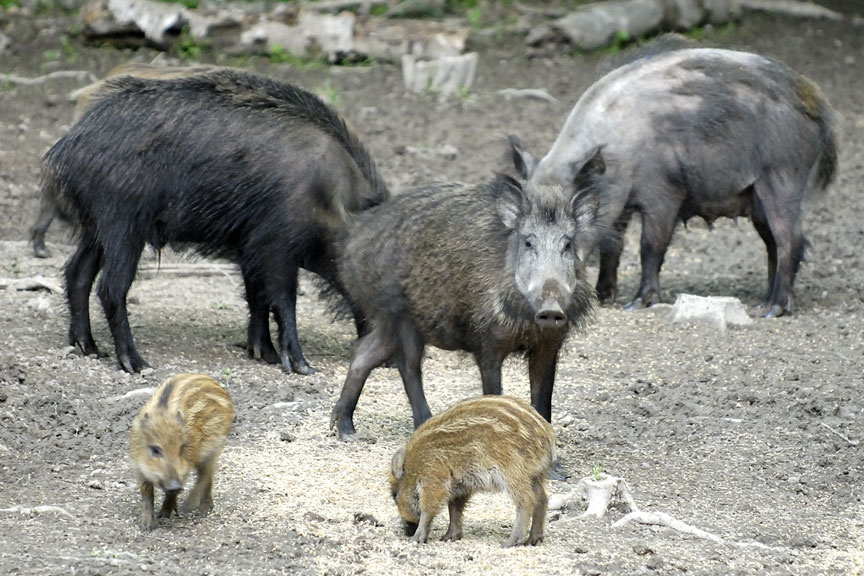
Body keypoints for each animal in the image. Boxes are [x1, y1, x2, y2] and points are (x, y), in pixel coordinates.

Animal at [130, 373, 234, 531]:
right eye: (155, 450)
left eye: (182, 448)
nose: (175, 484)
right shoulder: (138, 467)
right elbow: (147, 494)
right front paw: (146, 526)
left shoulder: (185, 465)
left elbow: (172, 492)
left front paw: (164, 515)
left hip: (214, 445)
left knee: (207, 474)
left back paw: (197, 509)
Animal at [329, 164, 603, 439]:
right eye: (528, 242)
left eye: (567, 244)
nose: (550, 309)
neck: (526, 325)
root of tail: (353, 242)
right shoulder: (487, 343)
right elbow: (494, 393)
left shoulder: (550, 344)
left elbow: (543, 400)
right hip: (400, 317)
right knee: (407, 366)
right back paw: (414, 424)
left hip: (391, 324)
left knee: (364, 353)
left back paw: (347, 431)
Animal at [389, 395, 557, 546]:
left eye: (395, 495)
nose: (407, 531)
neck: (415, 464)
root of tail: (547, 435)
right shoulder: (460, 485)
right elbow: (454, 508)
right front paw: (449, 538)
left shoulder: (434, 477)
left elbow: (428, 509)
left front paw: (416, 540)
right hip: (535, 475)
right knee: (542, 499)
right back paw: (532, 541)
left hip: (513, 471)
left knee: (526, 500)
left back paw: (509, 543)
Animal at [512, 46, 838, 318]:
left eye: (570, 222)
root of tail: (814, 99)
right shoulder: (621, 205)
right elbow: (612, 247)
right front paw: (604, 298)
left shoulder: (664, 191)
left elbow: (650, 245)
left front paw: (636, 304)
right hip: (758, 198)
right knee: (772, 243)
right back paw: (761, 302)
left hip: (783, 175)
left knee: (791, 240)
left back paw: (774, 310)